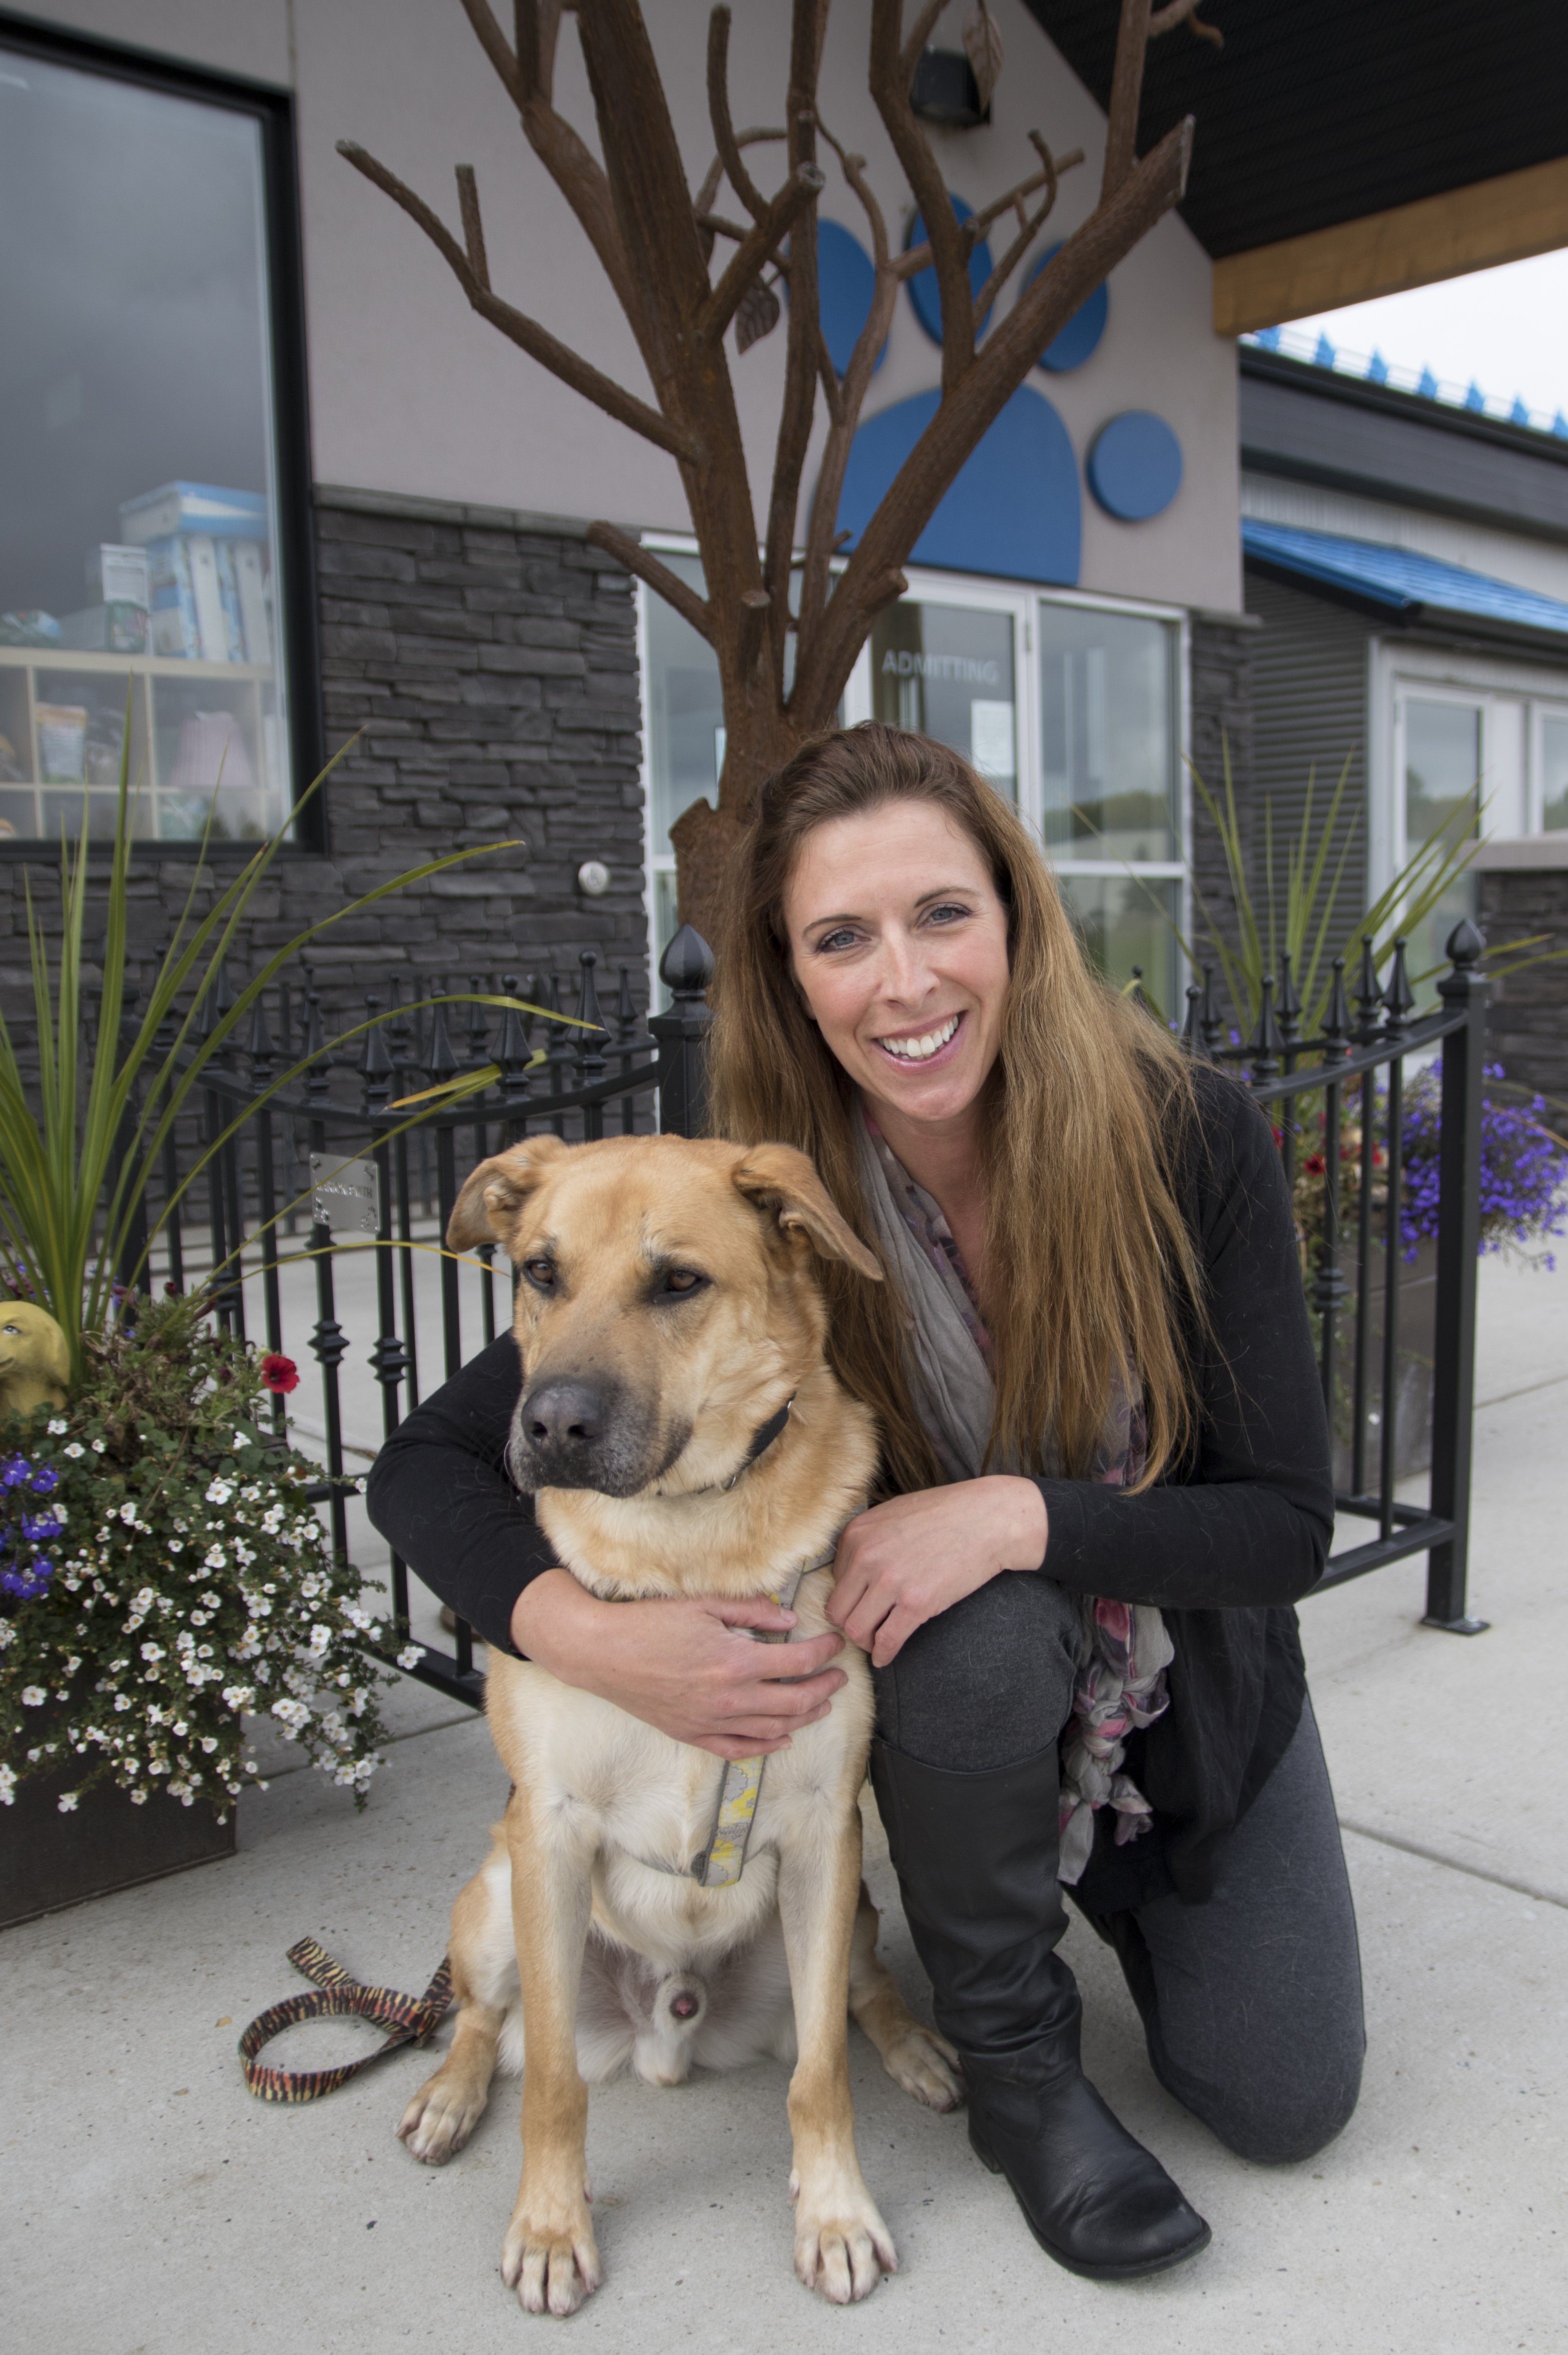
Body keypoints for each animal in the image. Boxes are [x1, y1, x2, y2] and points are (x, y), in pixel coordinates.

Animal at [398, 1140, 960, 2317]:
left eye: (678, 1283)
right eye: (539, 1270)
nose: (550, 1426)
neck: (688, 1543)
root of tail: (669, 2025)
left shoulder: (822, 1832)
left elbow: (818, 2076)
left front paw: (835, 2214)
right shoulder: (550, 1831)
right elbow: (552, 2079)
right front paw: (551, 2229)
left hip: (846, 1921)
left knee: (863, 1995)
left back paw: (915, 2048)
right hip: (497, 1897)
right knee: (481, 2018)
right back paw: (450, 2094)